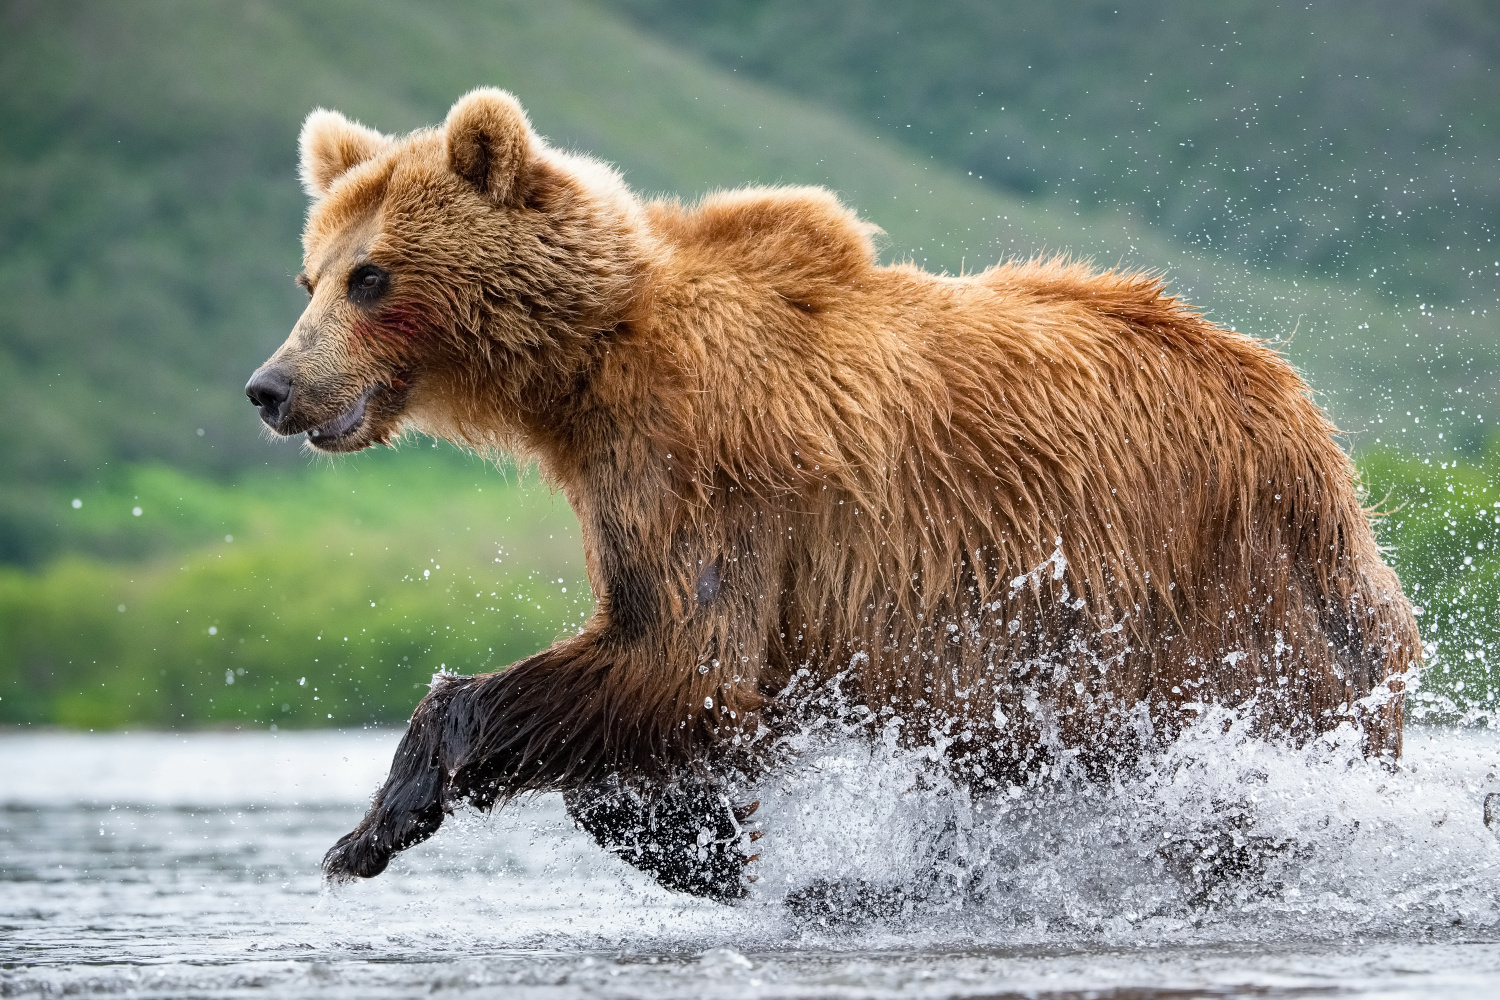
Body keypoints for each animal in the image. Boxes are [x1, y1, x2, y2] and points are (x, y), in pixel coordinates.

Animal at [243, 86, 1416, 899]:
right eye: (310, 274)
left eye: (372, 276)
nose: (273, 387)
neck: (587, 368)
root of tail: (1304, 416)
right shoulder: (637, 481)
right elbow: (673, 675)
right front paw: (707, 841)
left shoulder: (709, 468)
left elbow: (681, 657)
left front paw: (371, 826)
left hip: (1213, 583)